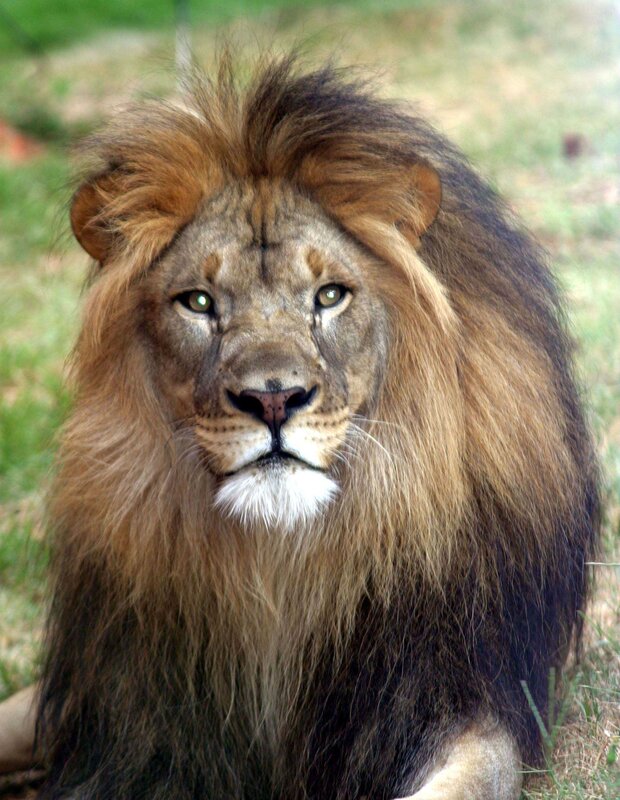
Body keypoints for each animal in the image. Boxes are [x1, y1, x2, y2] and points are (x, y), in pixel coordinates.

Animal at [0, 55, 599, 799]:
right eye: (199, 302)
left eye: (330, 295)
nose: (273, 399)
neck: (284, 568)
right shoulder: (137, 732)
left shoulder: (458, 696)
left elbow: (470, 776)